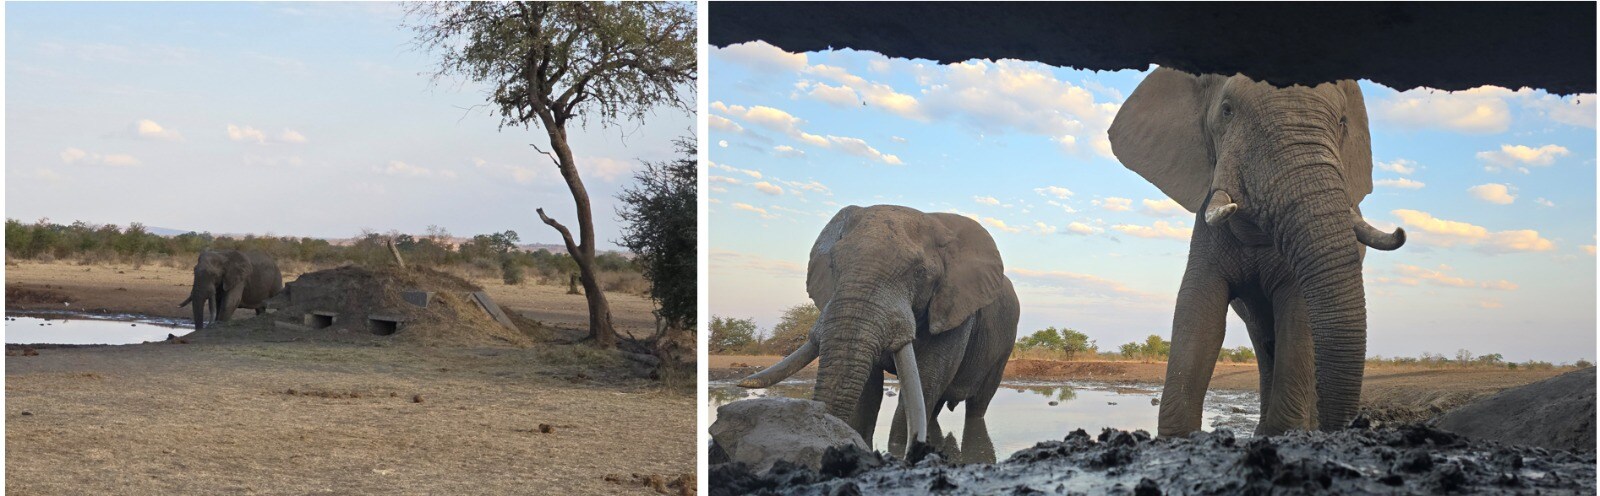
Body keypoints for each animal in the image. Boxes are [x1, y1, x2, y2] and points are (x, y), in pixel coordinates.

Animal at [738, 205, 1021, 450]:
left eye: (919, 272)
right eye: (833, 265)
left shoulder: (955, 309)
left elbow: (925, 379)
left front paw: (898, 450)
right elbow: (868, 389)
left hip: (1005, 345)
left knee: (977, 404)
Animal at [1108, 68, 1405, 437]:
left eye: (1341, 123)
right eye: (1227, 111)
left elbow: (1298, 318)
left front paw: (1286, 433)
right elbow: (1199, 315)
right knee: (1263, 340)